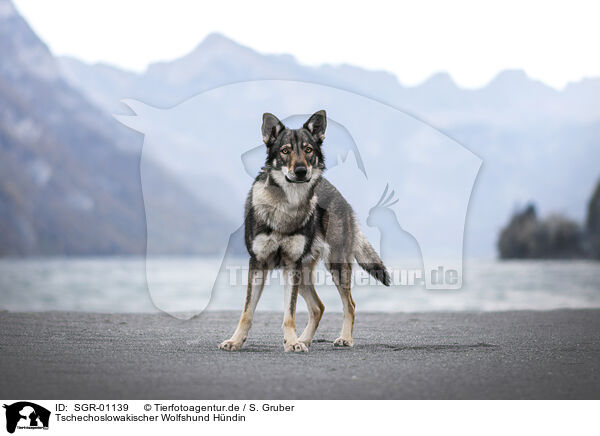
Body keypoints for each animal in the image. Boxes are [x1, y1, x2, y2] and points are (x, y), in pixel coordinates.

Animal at [219, 110, 390, 352]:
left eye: (308, 150)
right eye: (285, 150)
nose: (300, 171)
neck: (285, 206)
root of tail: (341, 197)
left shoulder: (292, 266)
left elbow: (289, 314)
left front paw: (291, 342)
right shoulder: (258, 264)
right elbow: (247, 312)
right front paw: (235, 341)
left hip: (333, 267)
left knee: (350, 304)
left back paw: (343, 338)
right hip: (303, 275)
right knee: (319, 307)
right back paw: (304, 339)